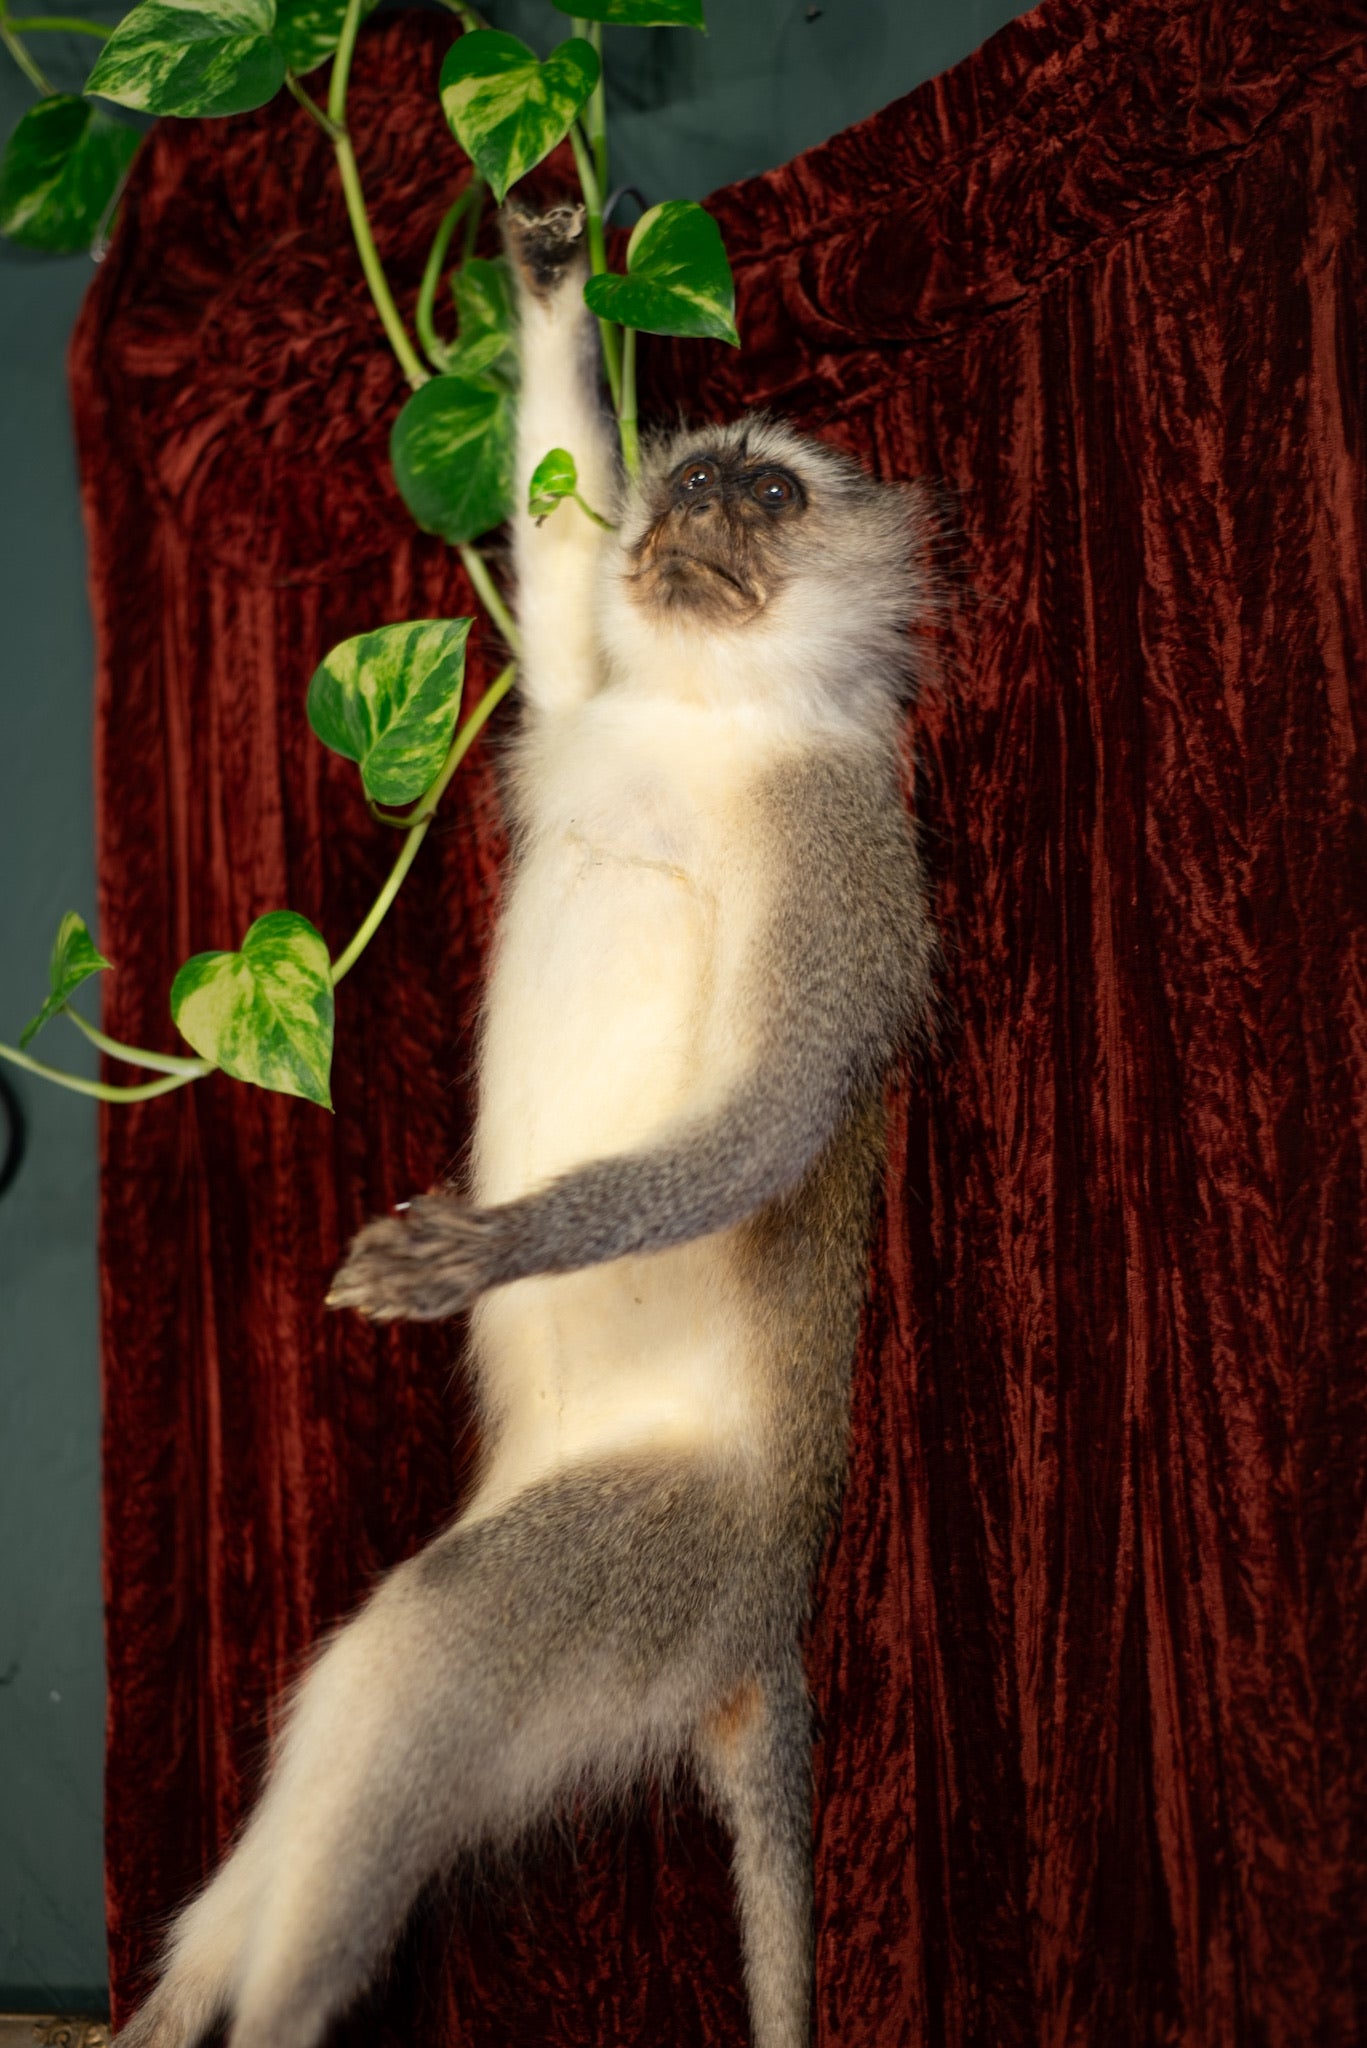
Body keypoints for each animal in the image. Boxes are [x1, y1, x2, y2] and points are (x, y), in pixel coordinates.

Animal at [114, 199, 937, 2048]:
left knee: (437, 1652)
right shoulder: (591, 689)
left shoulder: (847, 853)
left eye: (763, 492)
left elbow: (770, 1122)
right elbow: (556, 586)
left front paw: (494, 1245)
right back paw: (189, 1996)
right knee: (364, 1673)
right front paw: (551, 266)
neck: (709, 714)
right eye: (688, 478)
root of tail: (760, 1629)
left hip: (647, 1570)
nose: (693, 516)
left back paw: (277, 2008)